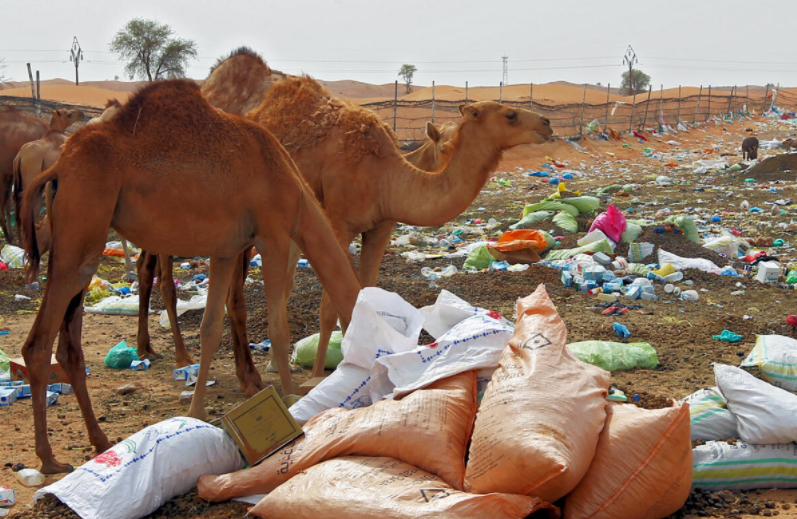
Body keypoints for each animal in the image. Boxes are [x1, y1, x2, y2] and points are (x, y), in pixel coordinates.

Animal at [17, 79, 360, 474]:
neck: (298, 194)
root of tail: (58, 166)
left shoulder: (226, 249)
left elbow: (211, 328)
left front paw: (197, 411)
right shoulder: (272, 234)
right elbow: (278, 328)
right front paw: (288, 400)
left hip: (81, 241)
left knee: (69, 346)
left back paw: (100, 440)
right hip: (81, 229)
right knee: (38, 344)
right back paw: (48, 458)